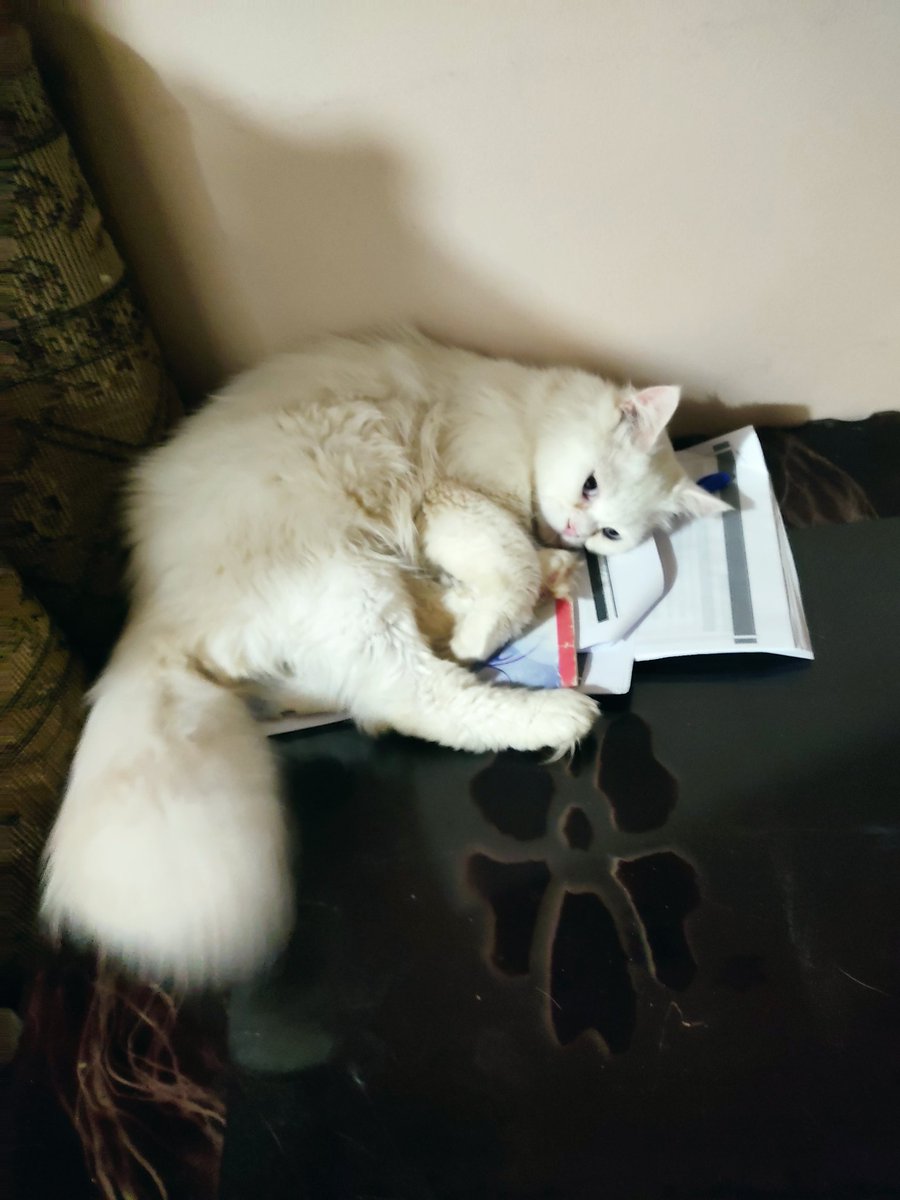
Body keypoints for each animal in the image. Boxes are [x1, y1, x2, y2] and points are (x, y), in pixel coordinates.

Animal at [41, 329, 727, 985]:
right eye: (589, 486)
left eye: (612, 533)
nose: (577, 533)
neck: (528, 411)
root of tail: (154, 615)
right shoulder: (452, 498)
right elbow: (513, 560)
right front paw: (497, 619)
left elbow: (517, 563)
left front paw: (539, 576)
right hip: (351, 583)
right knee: (415, 696)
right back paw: (555, 705)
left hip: (356, 595)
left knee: (371, 692)